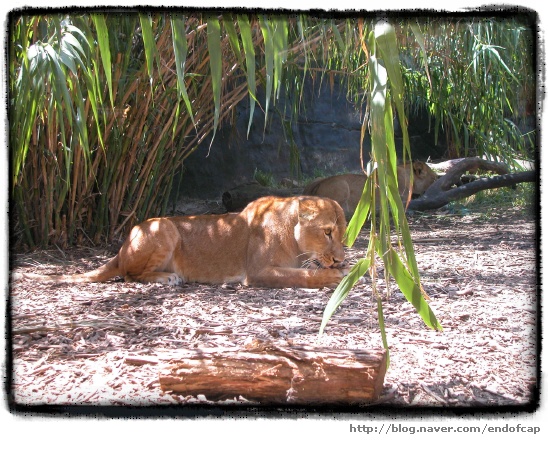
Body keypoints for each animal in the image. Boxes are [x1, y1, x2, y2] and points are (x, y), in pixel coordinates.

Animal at [20, 197, 352, 288]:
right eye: (327, 232)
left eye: (343, 234)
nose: (341, 259)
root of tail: (121, 247)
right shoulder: (257, 273)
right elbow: (303, 275)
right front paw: (335, 276)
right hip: (164, 228)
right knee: (128, 274)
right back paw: (167, 278)